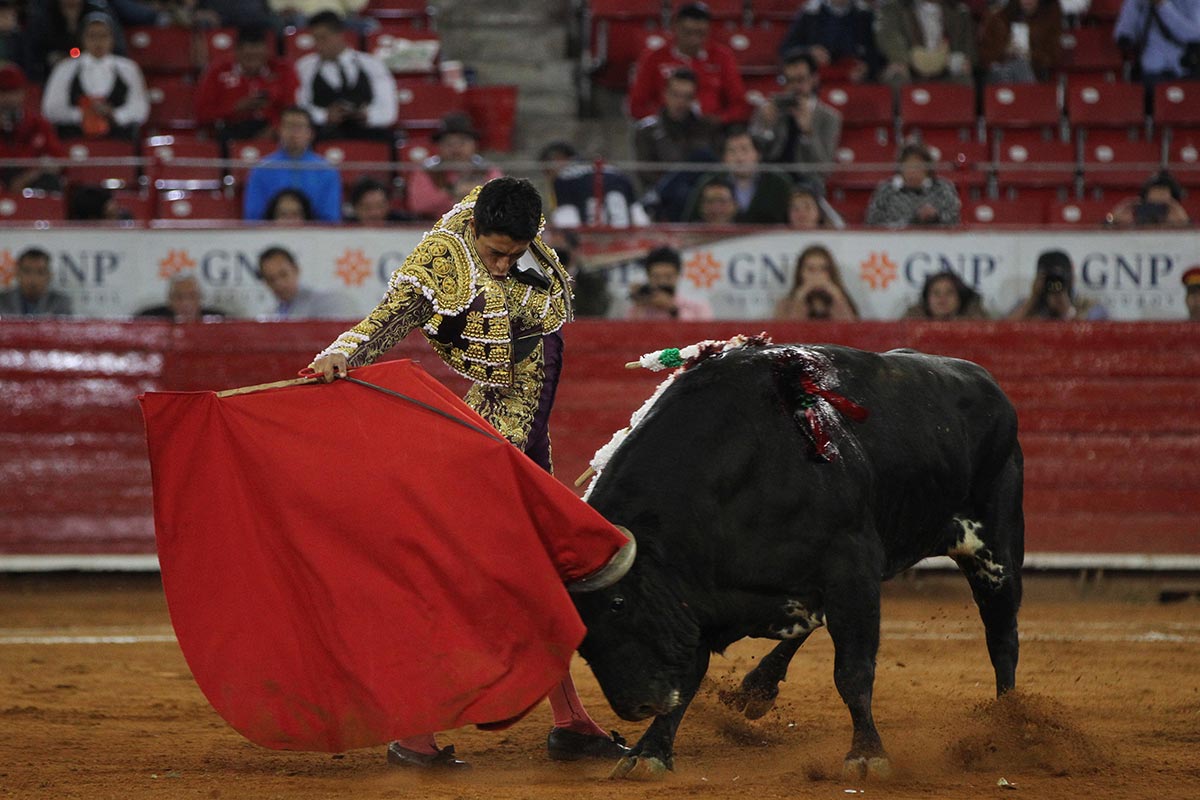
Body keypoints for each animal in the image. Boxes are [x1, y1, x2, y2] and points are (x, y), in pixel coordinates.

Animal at [576, 345, 1027, 782]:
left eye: (617, 604)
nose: (634, 706)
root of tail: (987, 382)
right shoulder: (695, 600)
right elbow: (689, 674)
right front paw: (649, 752)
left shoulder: (851, 568)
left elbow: (853, 671)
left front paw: (867, 755)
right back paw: (757, 688)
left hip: (996, 553)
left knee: (1002, 638)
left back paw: (1006, 728)